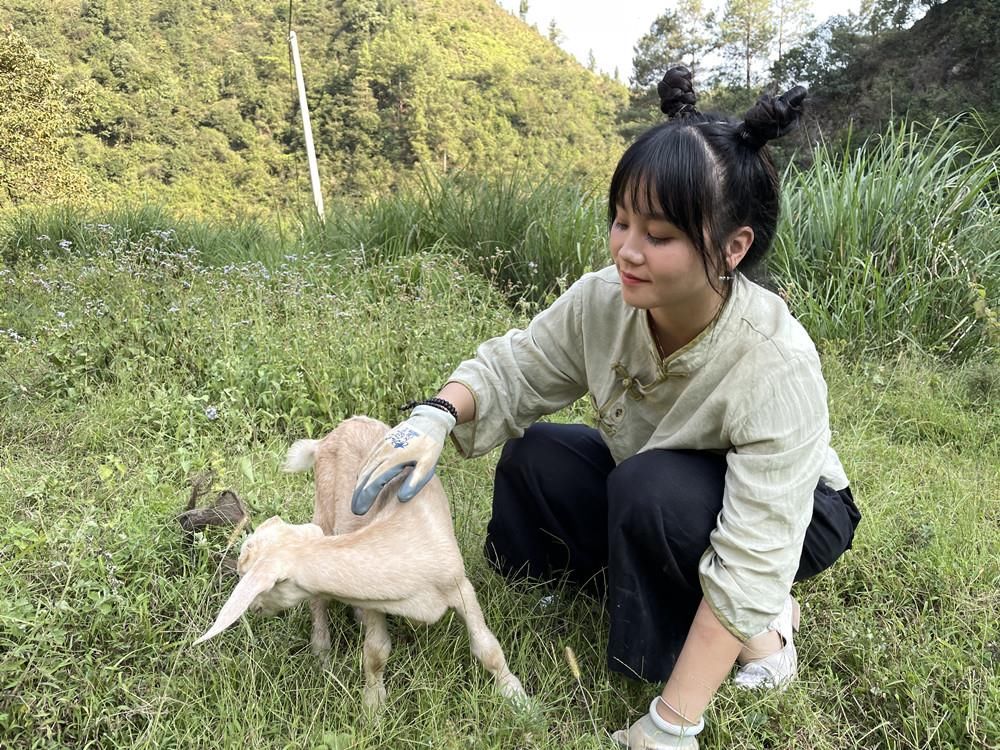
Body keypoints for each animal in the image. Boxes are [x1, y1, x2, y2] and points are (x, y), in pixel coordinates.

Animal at [191, 418, 528, 712]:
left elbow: (487, 648)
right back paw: (322, 652)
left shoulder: (459, 586)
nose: (255, 610)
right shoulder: (377, 601)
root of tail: (326, 438)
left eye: (250, 578)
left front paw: (516, 697)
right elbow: (375, 653)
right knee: (318, 602)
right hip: (323, 507)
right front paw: (373, 707)